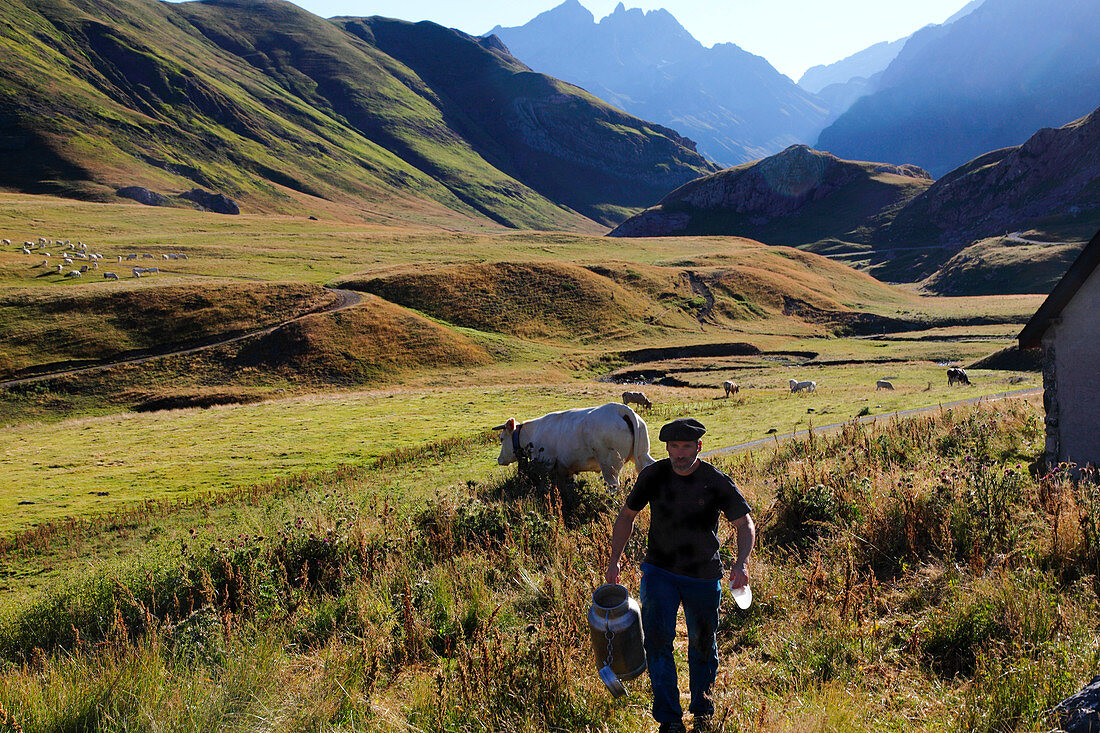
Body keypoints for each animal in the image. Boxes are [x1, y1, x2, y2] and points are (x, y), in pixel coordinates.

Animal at [497, 400, 651, 490]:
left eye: (501, 438)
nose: (499, 459)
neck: (532, 433)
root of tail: (619, 409)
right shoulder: (566, 469)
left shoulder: (547, 465)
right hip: (642, 454)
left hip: (610, 466)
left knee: (613, 485)